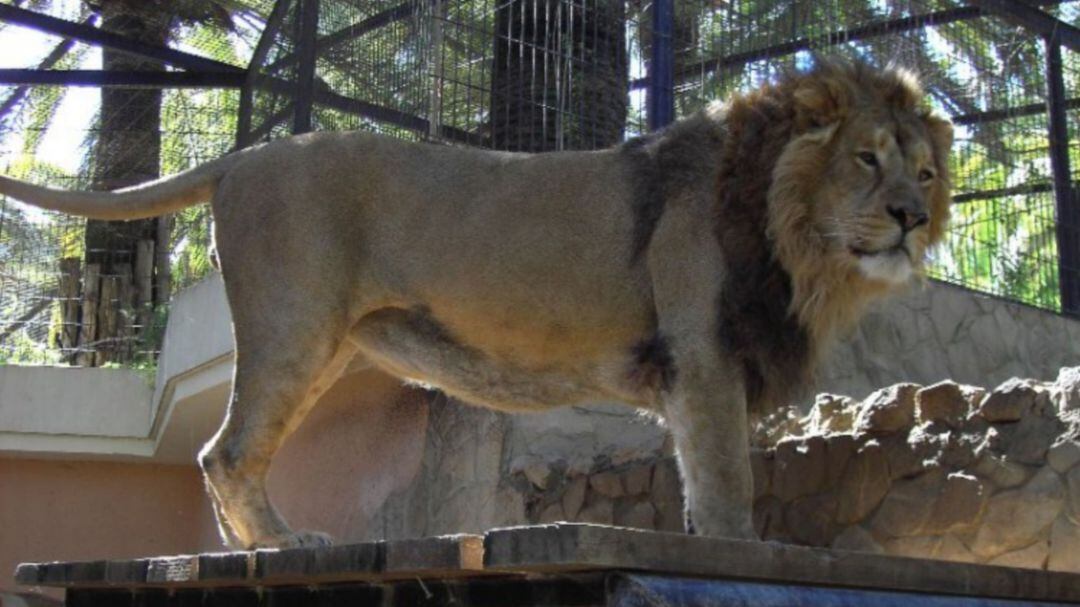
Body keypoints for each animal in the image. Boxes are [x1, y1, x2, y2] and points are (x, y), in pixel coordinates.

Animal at [0, 58, 951, 549]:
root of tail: (244, 155)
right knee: (226, 450)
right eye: (866, 158)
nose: (912, 217)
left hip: (329, 344)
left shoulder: (696, 373)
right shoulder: (704, 355)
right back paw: (283, 544)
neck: (802, 245)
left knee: (225, 450)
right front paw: (733, 552)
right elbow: (726, 485)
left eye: (927, 169)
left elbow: (696, 479)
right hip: (293, 326)